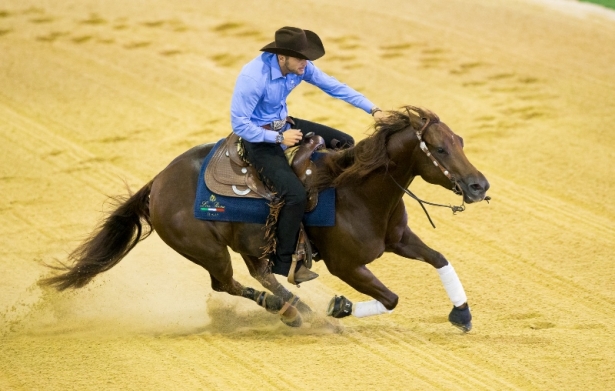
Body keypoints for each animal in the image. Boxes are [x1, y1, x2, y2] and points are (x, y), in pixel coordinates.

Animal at [42, 105, 490, 332]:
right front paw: (340, 307)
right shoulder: (347, 265)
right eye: (439, 148)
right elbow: (391, 298)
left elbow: (439, 259)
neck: (356, 190)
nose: (478, 185)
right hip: (207, 250)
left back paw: (294, 308)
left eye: (460, 141)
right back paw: (295, 311)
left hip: (248, 244)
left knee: (258, 276)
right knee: (229, 283)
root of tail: (157, 183)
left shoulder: (399, 240)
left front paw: (462, 314)